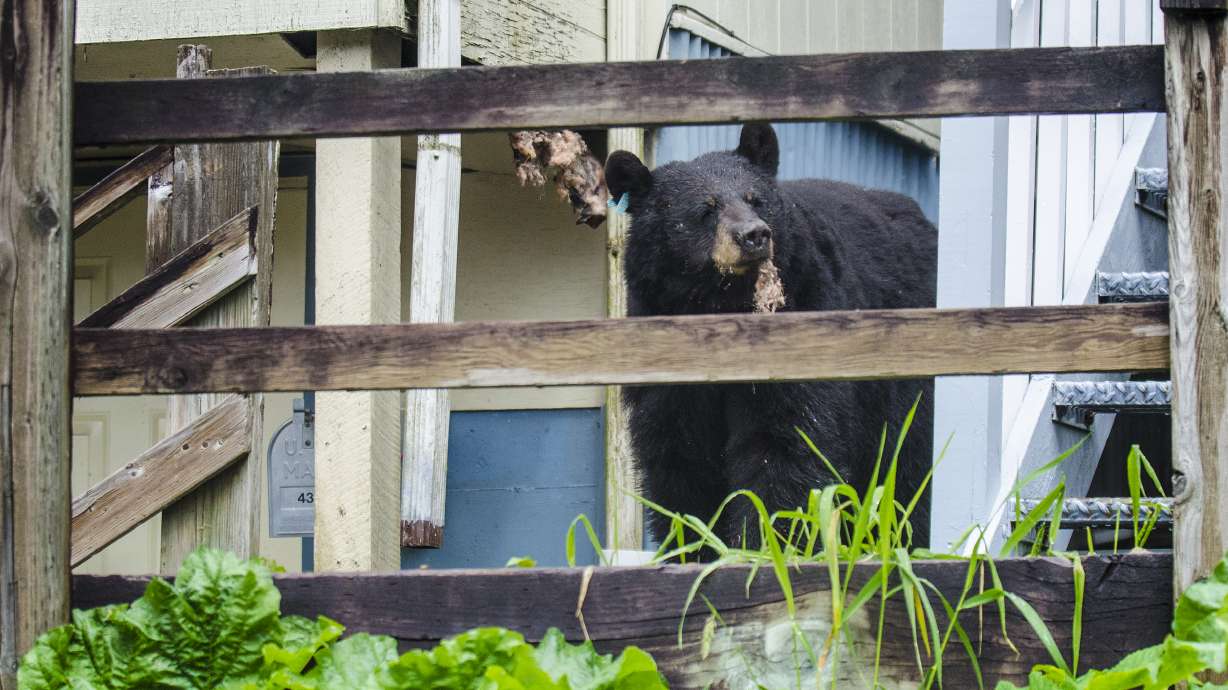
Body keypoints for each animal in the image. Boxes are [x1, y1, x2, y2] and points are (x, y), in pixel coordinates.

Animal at [605, 123, 938, 552]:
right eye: (705, 210)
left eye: (756, 200)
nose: (753, 235)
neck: (720, 305)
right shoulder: (659, 349)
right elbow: (680, 457)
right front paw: (693, 546)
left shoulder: (805, 315)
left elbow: (784, 440)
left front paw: (766, 544)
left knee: (906, 466)